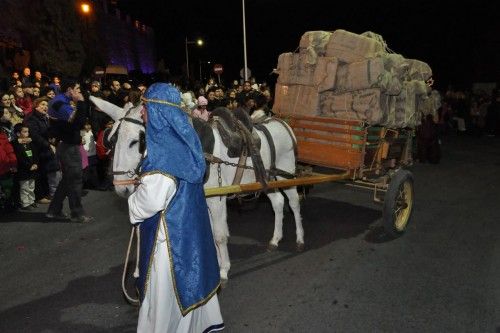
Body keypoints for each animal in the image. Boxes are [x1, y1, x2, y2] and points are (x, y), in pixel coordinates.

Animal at [91, 95, 304, 280]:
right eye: (110, 141)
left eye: (136, 141)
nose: (121, 188)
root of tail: (282, 123)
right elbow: (210, 232)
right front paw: (215, 263)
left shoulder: (216, 200)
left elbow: (219, 235)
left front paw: (223, 271)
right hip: (266, 178)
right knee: (278, 202)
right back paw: (275, 239)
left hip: (286, 172)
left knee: (293, 202)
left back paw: (300, 238)